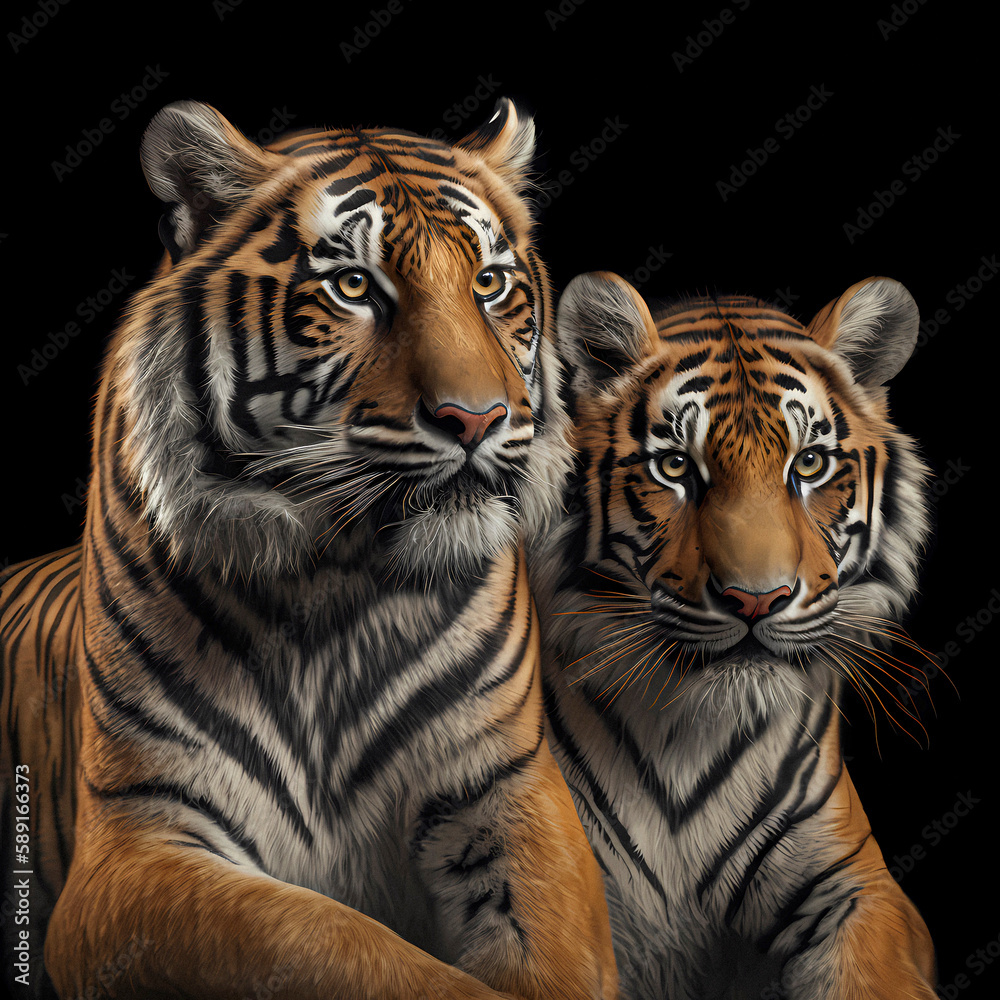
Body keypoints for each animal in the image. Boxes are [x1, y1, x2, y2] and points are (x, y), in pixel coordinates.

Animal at [0, 101, 619, 1000]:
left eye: (489, 284)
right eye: (353, 287)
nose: (478, 419)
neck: (336, 579)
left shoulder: (507, 788)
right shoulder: (136, 841)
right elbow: (333, 944)